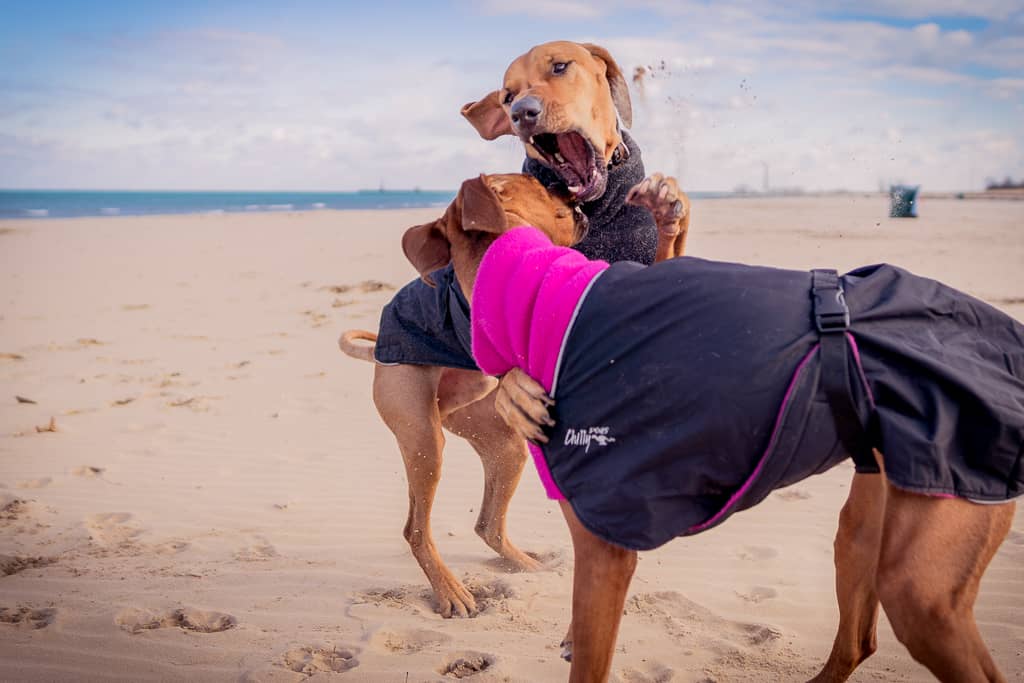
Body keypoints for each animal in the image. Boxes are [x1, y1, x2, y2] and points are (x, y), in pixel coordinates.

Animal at [339, 42, 692, 618]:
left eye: (560, 68)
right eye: (538, 187)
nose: (524, 113)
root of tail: (381, 355)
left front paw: (667, 208)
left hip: (497, 441)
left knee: (486, 524)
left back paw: (526, 566)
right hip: (424, 440)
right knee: (416, 527)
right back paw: (451, 591)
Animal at [397, 187, 1015, 683]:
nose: (580, 203)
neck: (538, 287)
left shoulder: (605, 552)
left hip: (924, 586)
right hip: (866, 528)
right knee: (857, 640)